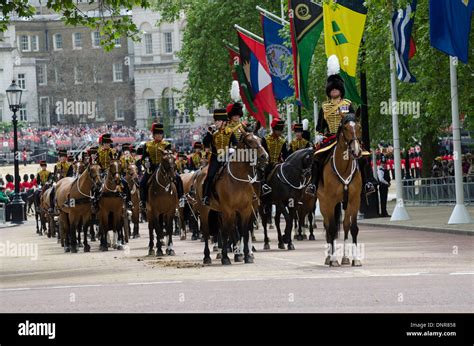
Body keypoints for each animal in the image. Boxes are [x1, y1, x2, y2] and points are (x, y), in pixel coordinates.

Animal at [194, 132, 268, 264]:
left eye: (260, 140)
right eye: (250, 141)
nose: (264, 156)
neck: (239, 180)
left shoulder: (245, 209)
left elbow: (244, 231)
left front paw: (247, 255)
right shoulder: (228, 209)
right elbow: (225, 231)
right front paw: (225, 257)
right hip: (205, 210)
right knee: (207, 232)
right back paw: (207, 256)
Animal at [318, 113, 362, 268]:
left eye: (359, 127)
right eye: (345, 128)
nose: (356, 151)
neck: (343, 168)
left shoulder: (354, 200)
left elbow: (352, 227)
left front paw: (355, 259)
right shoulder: (330, 201)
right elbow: (331, 229)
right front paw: (333, 260)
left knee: (345, 225)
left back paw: (345, 258)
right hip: (323, 203)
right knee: (327, 226)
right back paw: (328, 258)